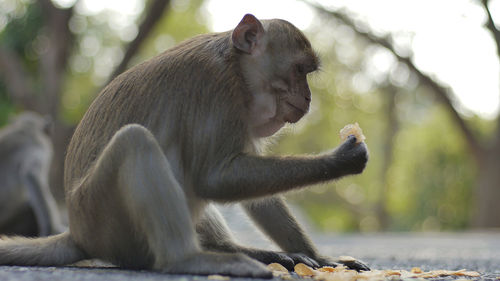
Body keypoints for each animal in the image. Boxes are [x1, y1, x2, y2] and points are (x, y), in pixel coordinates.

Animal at [0, 13, 370, 276]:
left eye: (307, 73)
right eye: (298, 70)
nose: (307, 98)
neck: (235, 67)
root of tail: (77, 233)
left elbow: (255, 194)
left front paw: (321, 257)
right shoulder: (216, 90)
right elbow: (215, 178)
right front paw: (341, 160)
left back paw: (242, 251)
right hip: (103, 218)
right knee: (135, 142)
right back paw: (190, 259)